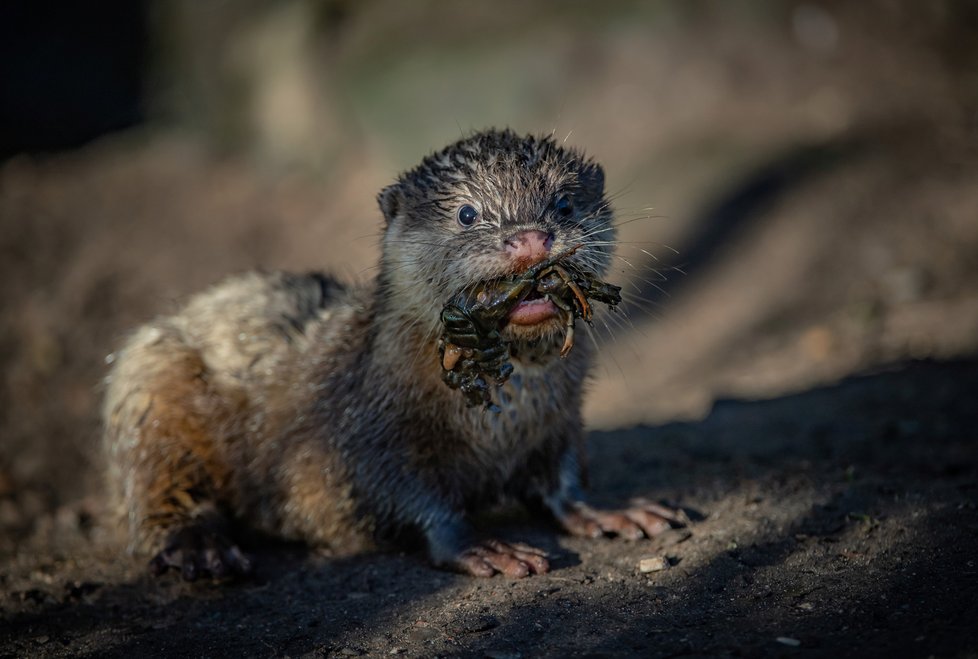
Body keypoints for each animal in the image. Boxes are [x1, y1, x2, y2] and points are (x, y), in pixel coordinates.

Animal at [99, 130, 680, 584]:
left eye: (563, 204)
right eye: (467, 214)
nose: (530, 238)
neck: (499, 419)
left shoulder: (560, 416)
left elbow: (563, 476)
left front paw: (610, 510)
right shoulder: (361, 435)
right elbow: (404, 495)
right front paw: (481, 545)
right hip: (149, 380)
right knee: (153, 487)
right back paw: (202, 547)